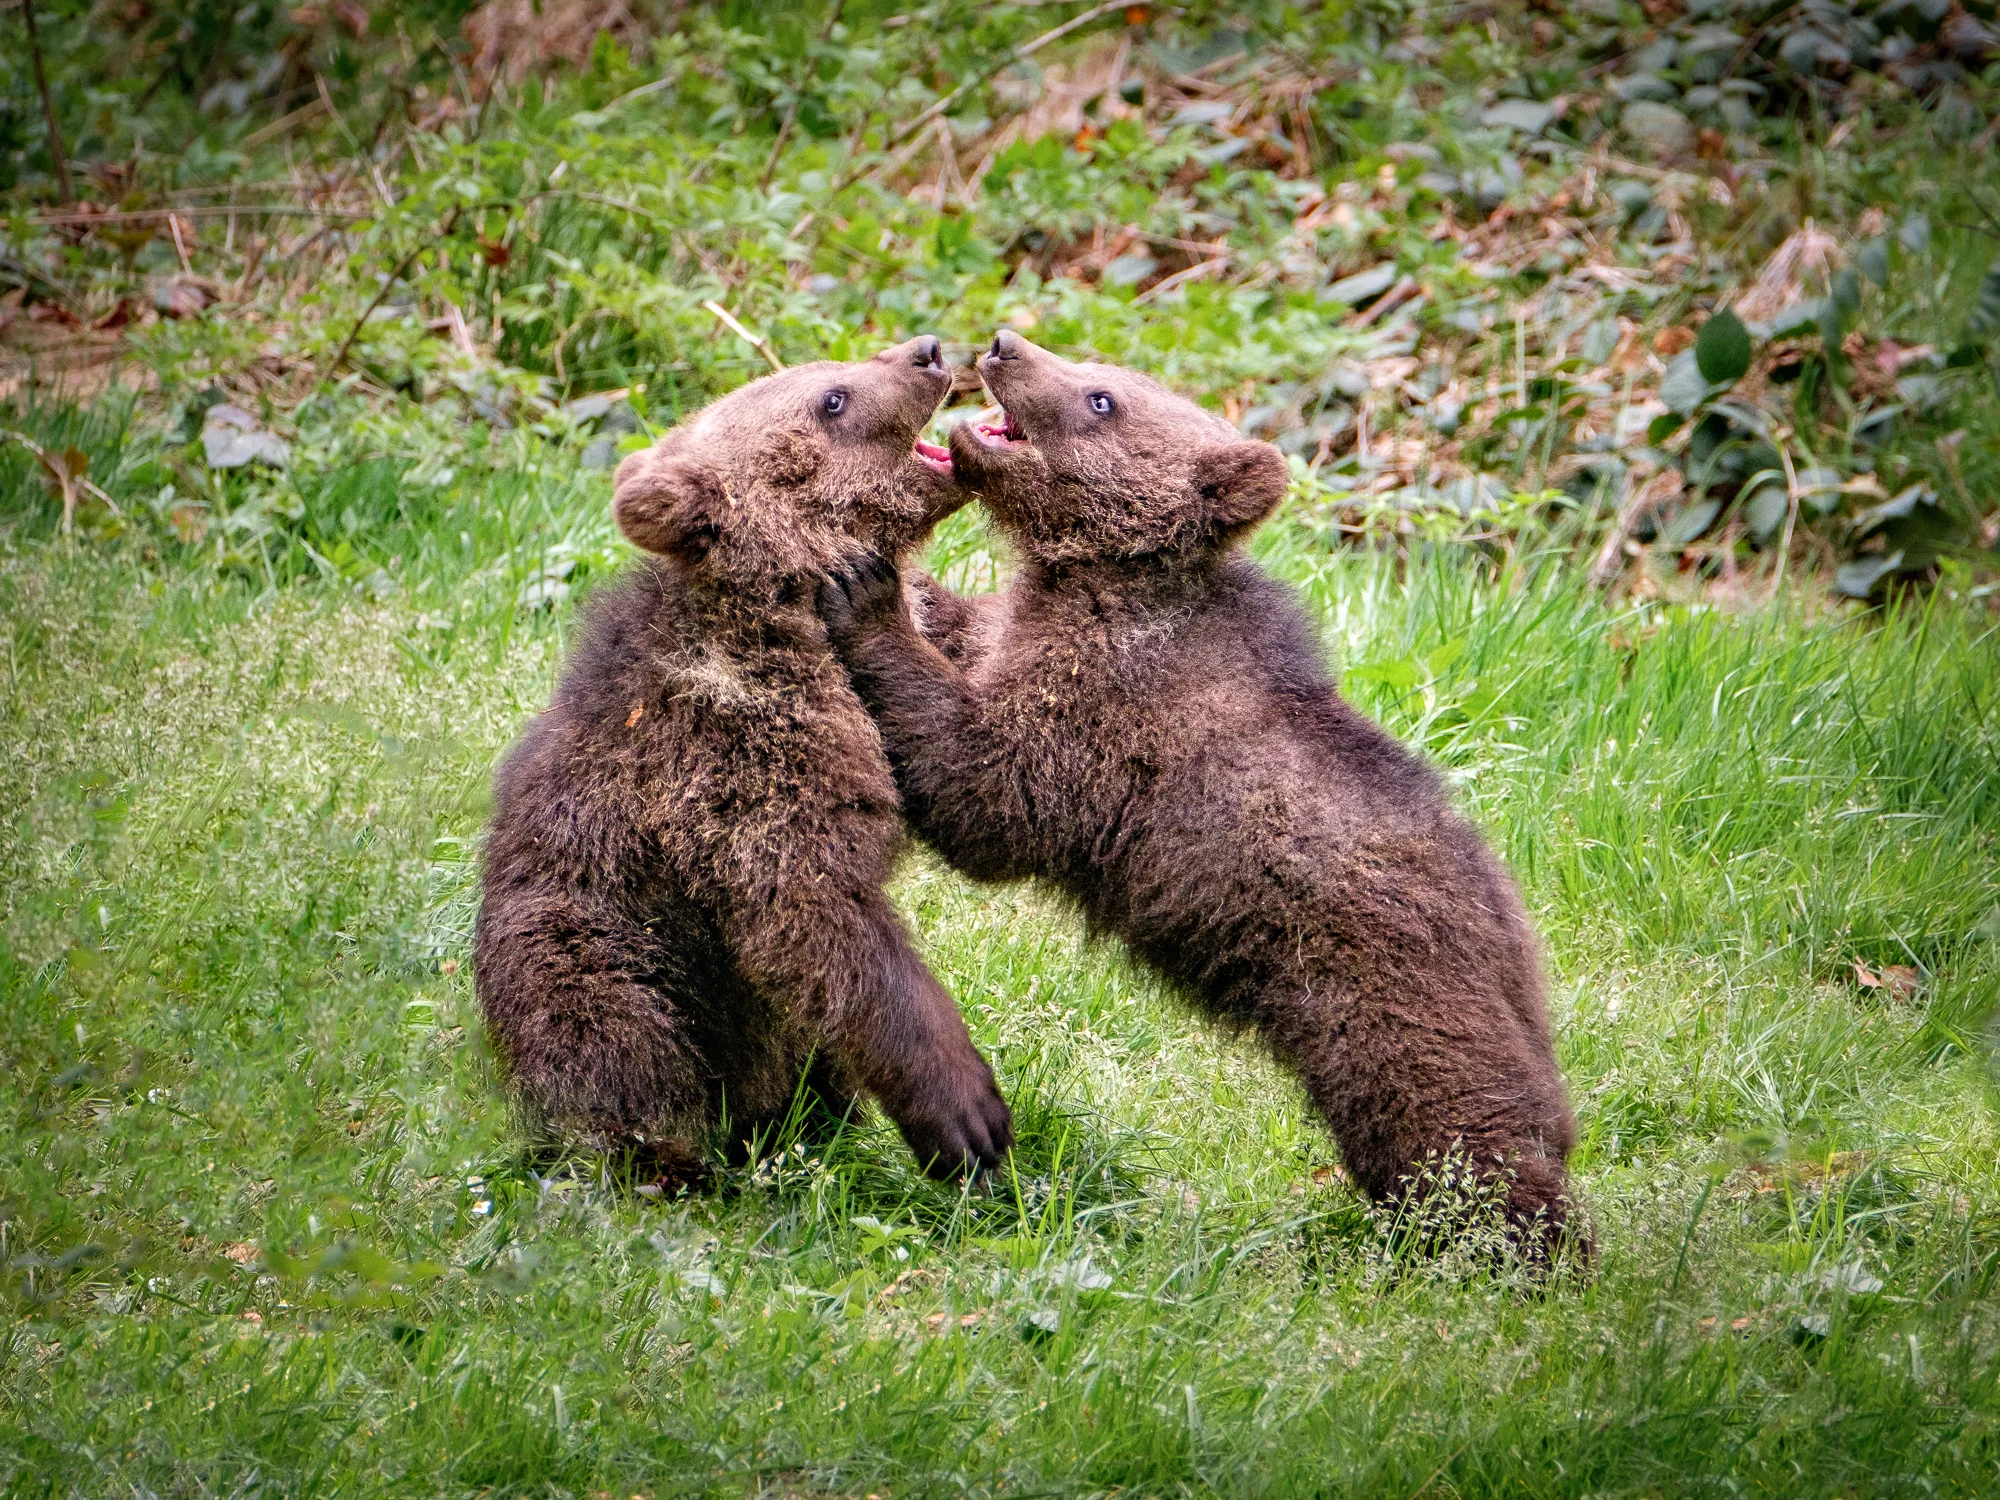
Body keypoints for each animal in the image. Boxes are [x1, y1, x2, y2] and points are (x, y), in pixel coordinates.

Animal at [473, 336, 1013, 1182]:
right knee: (617, 1042)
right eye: (831, 399)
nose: (926, 350)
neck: (783, 605)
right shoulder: (738, 752)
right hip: (598, 952)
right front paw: (964, 1113)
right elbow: (810, 909)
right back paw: (667, 1163)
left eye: (833, 369)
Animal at [816, 329, 1581, 1254]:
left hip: (1396, 1008)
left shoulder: (1107, 713)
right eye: (1100, 371)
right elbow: (973, 638)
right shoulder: (1026, 637)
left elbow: (990, 795)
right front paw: (913, 585)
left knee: (1464, 1148)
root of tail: (1523, 954)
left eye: (1103, 398)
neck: (1102, 577)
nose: (1003, 343)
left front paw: (867, 592)